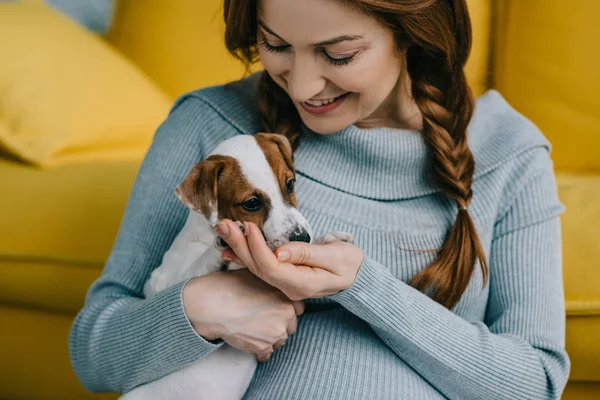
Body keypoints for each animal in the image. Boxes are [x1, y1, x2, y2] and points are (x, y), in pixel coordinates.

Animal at [122, 134, 354, 400]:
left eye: (290, 184)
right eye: (252, 203)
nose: (302, 237)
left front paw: (327, 240)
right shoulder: (158, 280)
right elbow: (192, 267)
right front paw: (218, 250)